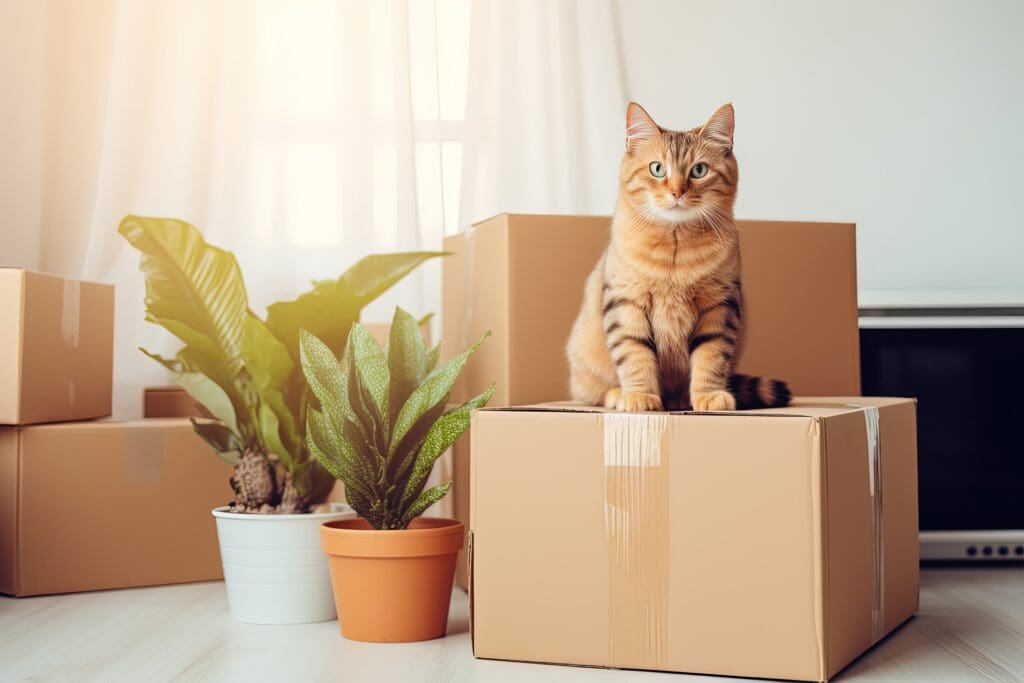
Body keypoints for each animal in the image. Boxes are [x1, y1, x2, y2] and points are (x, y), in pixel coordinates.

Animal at [565, 101, 786, 411]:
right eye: (657, 169)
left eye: (699, 170)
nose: (677, 192)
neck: (674, 250)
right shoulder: (625, 303)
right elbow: (634, 355)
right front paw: (640, 396)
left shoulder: (719, 306)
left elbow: (711, 356)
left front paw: (708, 395)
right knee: (595, 392)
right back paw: (619, 395)